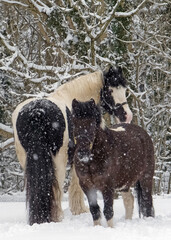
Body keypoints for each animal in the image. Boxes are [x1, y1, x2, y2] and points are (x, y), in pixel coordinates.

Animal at [12, 66, 133, 225]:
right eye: (111, 90)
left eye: (124, 89)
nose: (127, 116)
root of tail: (37, 111)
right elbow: (76, 184)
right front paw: (79, 210)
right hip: (59, 161)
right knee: (56, 187)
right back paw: (57, 217)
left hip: (26, 159)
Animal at [71, 98, 154, 228]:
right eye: (74, 122)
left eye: (92, 123)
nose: (83, 152)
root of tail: (143, 134)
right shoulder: (87, 186)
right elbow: (94, 210)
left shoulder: (107, 186)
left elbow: (108, 211)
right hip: (124, 182)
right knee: (129, 200)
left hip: (146, 178)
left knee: (147, 202)